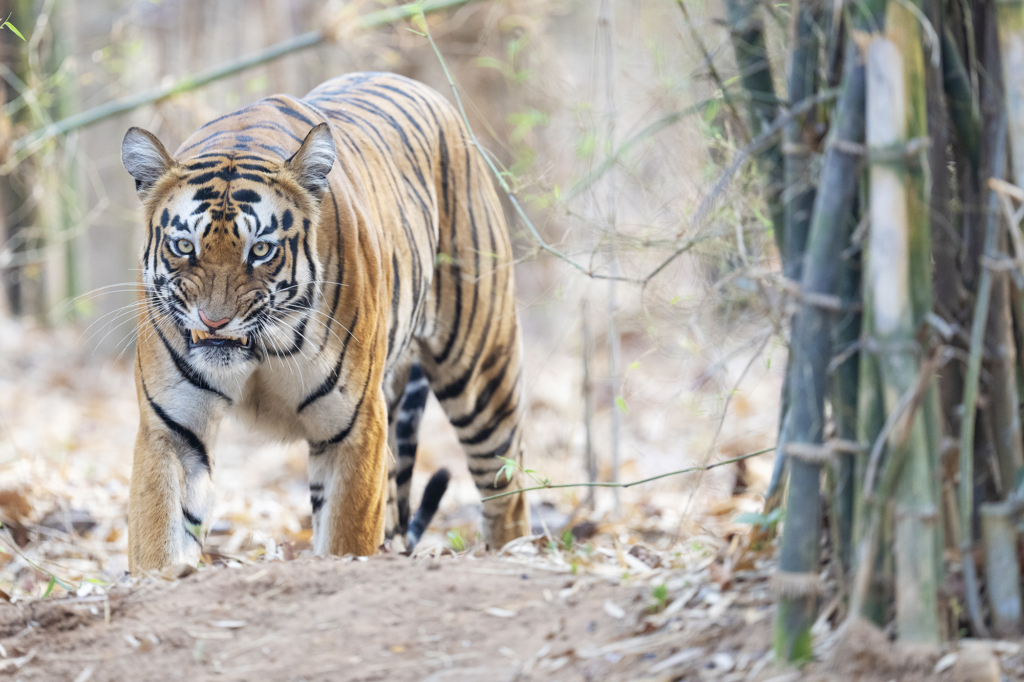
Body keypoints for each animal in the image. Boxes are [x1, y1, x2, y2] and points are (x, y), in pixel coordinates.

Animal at [121, 70, 528, 569]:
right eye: (184, 246)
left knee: (507, 487)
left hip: (480, 373)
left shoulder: (354, 426)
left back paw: (514, 553)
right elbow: (159, 534)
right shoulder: (171, 427)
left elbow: (347, 539)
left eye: (261, 250)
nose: (214, 322)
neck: (259, 351)